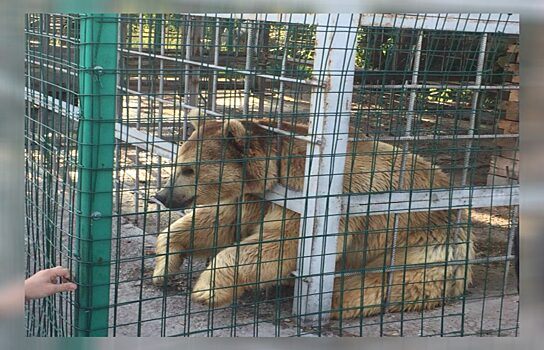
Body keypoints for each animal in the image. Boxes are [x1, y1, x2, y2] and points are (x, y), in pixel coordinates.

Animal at [151, 116, 474, 318]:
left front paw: (206, 288)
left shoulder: (301, 197)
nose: (162, 195)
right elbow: (214, 223)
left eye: (190, 169)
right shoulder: (255, 199)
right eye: (179, 163)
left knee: (388, 281)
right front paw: (164, 266)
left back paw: (333, 299)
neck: (274, 172)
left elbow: (281, 244)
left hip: (423, 242)